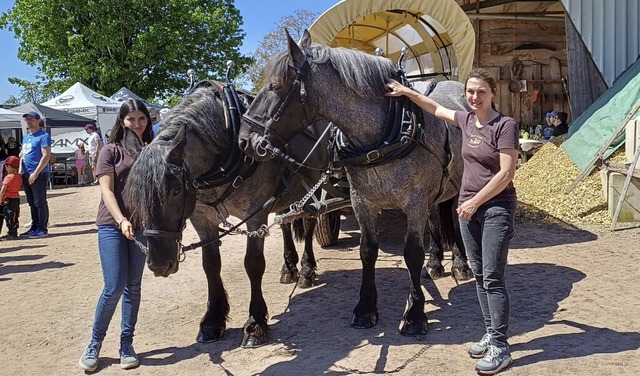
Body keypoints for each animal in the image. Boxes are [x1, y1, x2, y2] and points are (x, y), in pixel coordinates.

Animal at [124, 83, 330, 350]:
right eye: (135, 196)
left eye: (176, 190)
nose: (159, 265)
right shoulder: (201, 218)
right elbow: (210, 265)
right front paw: (212, 320)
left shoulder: (255, 214)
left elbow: (253, 264)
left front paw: (255, 323)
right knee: (286, 223)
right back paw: (289, 267)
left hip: (314, 186)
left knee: (309, 222)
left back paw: (306, 269)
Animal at [240, 29, 470, 334]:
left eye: (275, 85)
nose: (244, 140)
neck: (381, 138)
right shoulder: (363, 201)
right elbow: (367, 251)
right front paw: (365, 308)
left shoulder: (415, 201)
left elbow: (412, 253)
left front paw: (415, 313)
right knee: (435, 218)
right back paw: (435, 262)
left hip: (455, 184)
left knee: (452, 218)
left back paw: (460, 263)